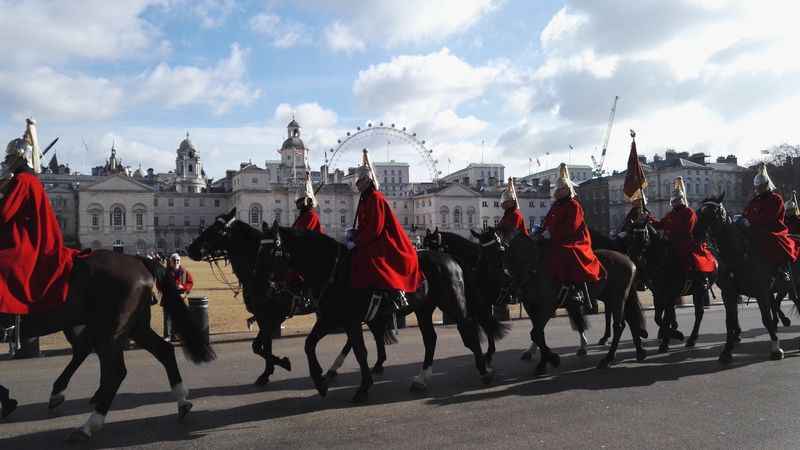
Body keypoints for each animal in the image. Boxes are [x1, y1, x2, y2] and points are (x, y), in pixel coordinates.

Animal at [0, 251, 216, 442]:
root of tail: (136, 259)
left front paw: (7, 401)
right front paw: (7, 401)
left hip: (109, 328)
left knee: (113, 370)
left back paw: (88, 425)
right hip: (130, 327)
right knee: (162, 351)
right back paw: (182, 401)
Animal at [476, 227, 644, 374]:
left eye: (499, 251)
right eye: (482, 253)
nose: (485, 282)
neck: (533, 266)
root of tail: (628, 260)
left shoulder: (548, 306)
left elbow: (536, 333)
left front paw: (551, 360)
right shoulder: (532, 306)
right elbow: (538, 333)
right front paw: (544, 361)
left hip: (617, 298)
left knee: (619, 326)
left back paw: (608, 358)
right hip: (614, 298)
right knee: (629, 320)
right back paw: (639, 352)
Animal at [696, 193, 792, 362]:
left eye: (712, 212)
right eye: (699, 212)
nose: (695, 234)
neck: (738, 255)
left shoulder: (760, 292)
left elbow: (765, 318)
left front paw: (776, 348)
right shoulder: (729, 293)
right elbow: (730, 320)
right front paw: (727, 351)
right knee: (776, 304)